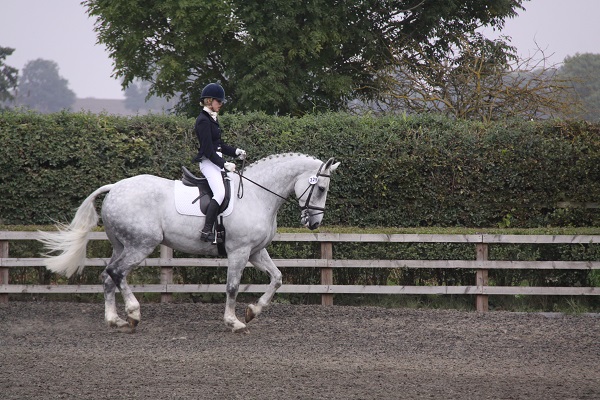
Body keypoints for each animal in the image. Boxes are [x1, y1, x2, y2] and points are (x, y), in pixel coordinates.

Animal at [38, 153, 338, 332]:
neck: (256, 195)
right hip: (141, 245)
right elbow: (232, 287)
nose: (314, 224)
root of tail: (115, 187)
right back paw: (133, 313)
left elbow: (277, 278)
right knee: (116, 272)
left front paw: (253, 311)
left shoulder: (255, 252)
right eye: (321, 188)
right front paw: (234, 322)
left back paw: (115, 319)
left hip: (122, 245)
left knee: (107, 276)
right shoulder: (239, 252)